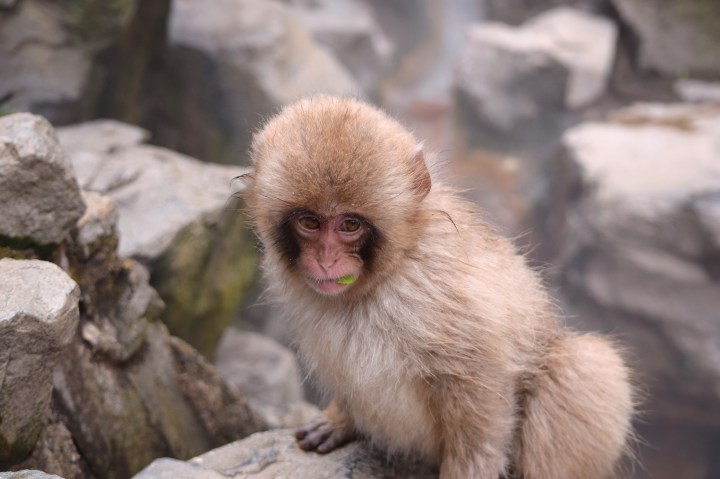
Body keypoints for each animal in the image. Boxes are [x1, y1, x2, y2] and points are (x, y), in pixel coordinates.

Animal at [243, 95, 634, 479]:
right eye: (310, 222)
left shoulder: (436, 291)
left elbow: (478, 385)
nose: (325, 260)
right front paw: (341, 418)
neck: (388, 274)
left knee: (583, 362)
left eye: (350, 225)